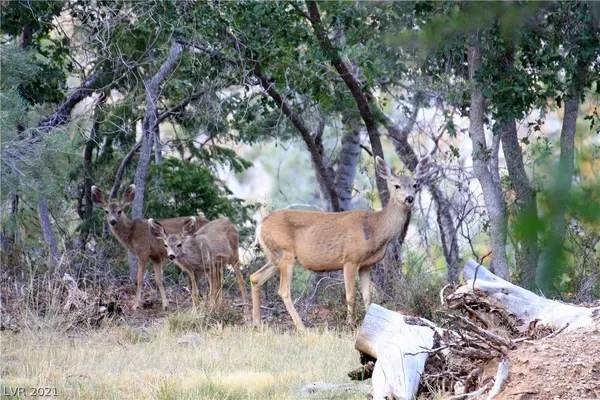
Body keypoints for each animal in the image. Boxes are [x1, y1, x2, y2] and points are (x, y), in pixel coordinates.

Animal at [252, 156, 432, 332]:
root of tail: (261, 225)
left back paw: (258, 324)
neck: (375, 229)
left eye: (415, 185)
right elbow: (350, 295)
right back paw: (302, 328)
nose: (409, 198)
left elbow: (367, 295)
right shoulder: (350, 259)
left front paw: (369, 323)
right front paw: (350, 325)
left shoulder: (366, 265)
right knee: (283, 290)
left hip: (275, 256)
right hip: (285, 251)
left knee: (255, 277)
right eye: (396, 185)